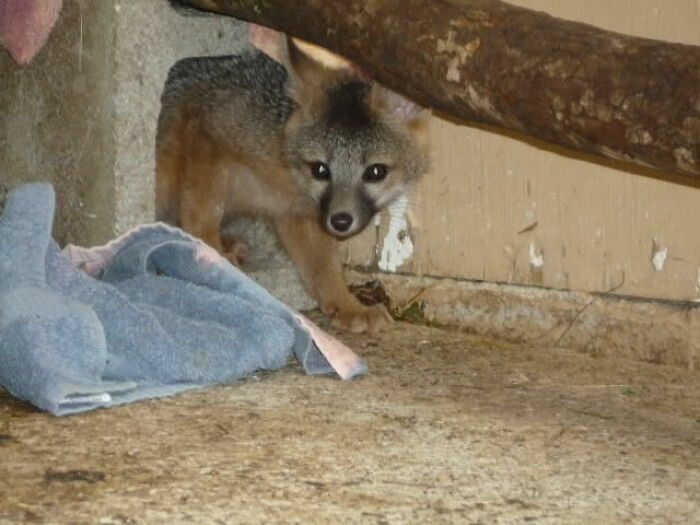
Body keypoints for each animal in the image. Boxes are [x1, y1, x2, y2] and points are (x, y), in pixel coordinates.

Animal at [155, 27, 430, 333]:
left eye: (375, 172)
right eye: (321, 169)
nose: (340, 221)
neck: (282, 167)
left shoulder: (298, 214)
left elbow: (324, 268)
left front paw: (349, 305)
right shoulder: (204, 137)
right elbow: (202, 218)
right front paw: (210, 258)